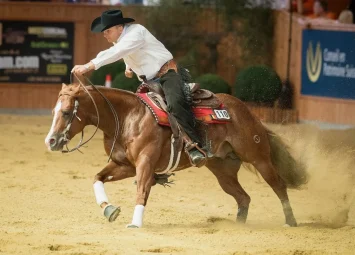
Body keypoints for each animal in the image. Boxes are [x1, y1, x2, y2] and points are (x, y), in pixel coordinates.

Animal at [45, 82, 308, 229]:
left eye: (67, 112)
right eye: (54, 110)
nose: (51, 141)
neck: (128, 116)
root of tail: (248, 112)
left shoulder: (145, 164)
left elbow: (142, 190)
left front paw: (135, 223)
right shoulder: (125, 165)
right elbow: (97, 178)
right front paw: (109, 210)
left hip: (259, 158)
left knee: (279, 186)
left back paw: (290, 221)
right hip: (223, 170)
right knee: (243, 198)